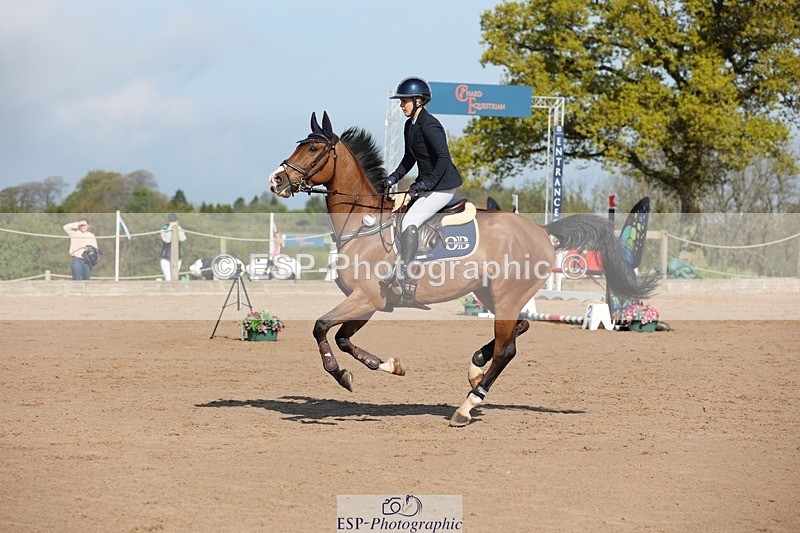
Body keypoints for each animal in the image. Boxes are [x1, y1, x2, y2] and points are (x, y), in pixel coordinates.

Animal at [269, 111, 658, 426]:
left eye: (313, 150)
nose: (276, 180)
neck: (363, 222)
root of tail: (543, 231)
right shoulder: (369, 302)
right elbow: (344, 338)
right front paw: (389, 366)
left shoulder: (367, 298)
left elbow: (322, 328)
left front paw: (339, 375)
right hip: (491, 293)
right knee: (519, 327)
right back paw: (475, 367)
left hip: (505, 296)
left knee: (506, 350)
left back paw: (467, 406)